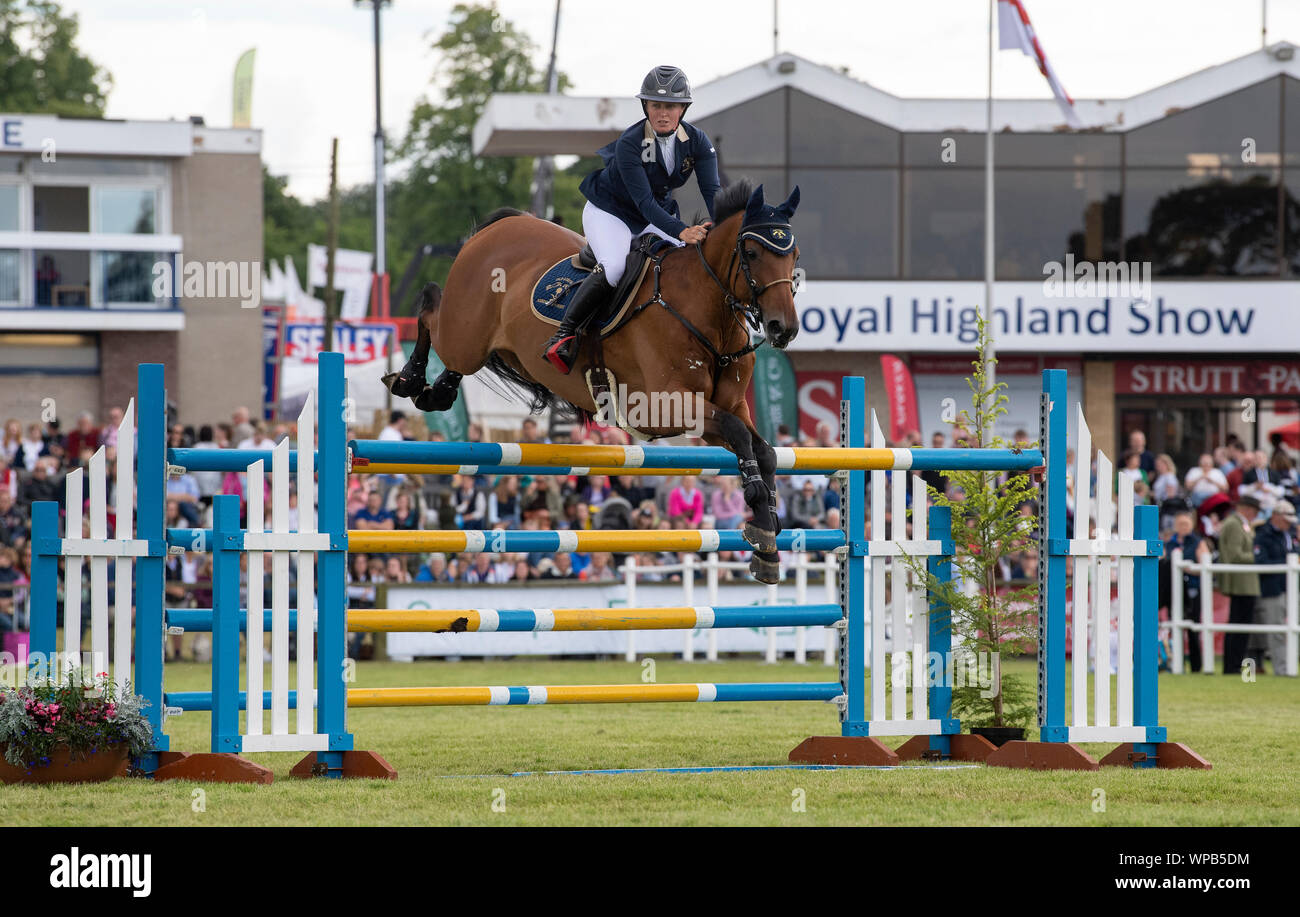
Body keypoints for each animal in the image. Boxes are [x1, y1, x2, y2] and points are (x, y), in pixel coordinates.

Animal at [379, 178, 795, 580]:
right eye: (752, 253)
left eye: (793, 256)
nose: (783, 328)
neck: (706, 310)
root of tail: (500, 225)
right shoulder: (661, 406)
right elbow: (740, 435)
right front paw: (761, 520)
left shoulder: (728, 406)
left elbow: (763, 450)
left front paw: (766, 536)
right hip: (464, 335)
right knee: (431, 306)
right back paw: (409, 380)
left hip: (505, 351)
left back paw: (438, 392)